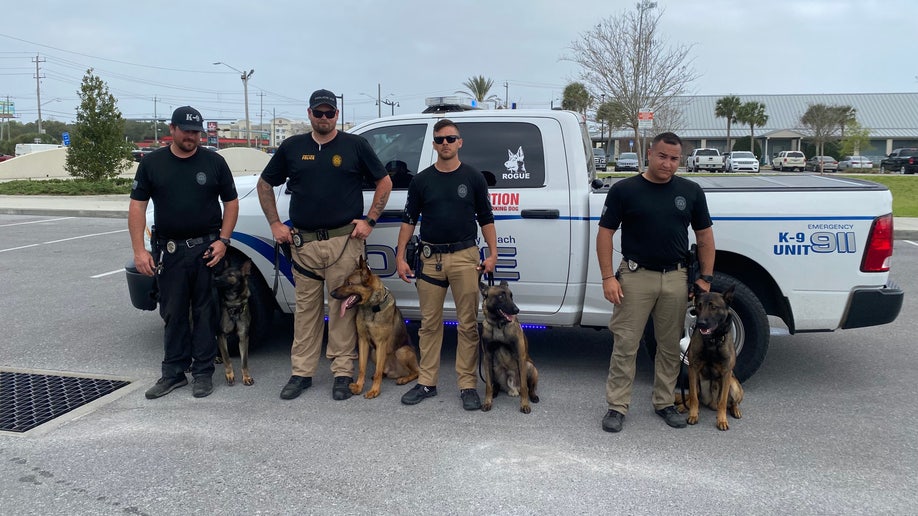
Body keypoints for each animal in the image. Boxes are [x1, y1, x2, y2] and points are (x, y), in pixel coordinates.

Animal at [330, 256, 420, 398]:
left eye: (349, 283)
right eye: (344, 282)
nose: (331, 293)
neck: (370, 307)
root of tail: (395, 372)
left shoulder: (381, 343)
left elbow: (377, 372)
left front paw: (374, 390)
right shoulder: (363, 341)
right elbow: (362, 368)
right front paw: (359, 386)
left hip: (402, 351)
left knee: (416, 372)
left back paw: (403, 379)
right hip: (373, 352)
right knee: (382, 369)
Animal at [482, 280, 540, 414]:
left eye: (511, 296)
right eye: (500, 296)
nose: (517, 309)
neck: (498, 325)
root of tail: (513, 388)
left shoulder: (520, 356)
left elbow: (524, 386)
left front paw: (524, 405)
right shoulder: (487, 357)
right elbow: (488, 385)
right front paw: (487, 402)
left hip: (530, 367)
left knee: (529, 388)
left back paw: (533, 396)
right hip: (494, 367)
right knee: (495, 385)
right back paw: (495, 392)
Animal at [684, 284, 748, 430]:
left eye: (713, 307)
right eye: (699, 306)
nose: (700, 323)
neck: (712, 341)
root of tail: (711, 404)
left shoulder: (726, 373)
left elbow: (723, 402)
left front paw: (722, 420)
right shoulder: (693, 369)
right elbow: (694, 397)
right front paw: (693, 415)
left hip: (733, 385)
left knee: (731, 403)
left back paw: (735, 410)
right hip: (697, 382)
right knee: (693, 396)